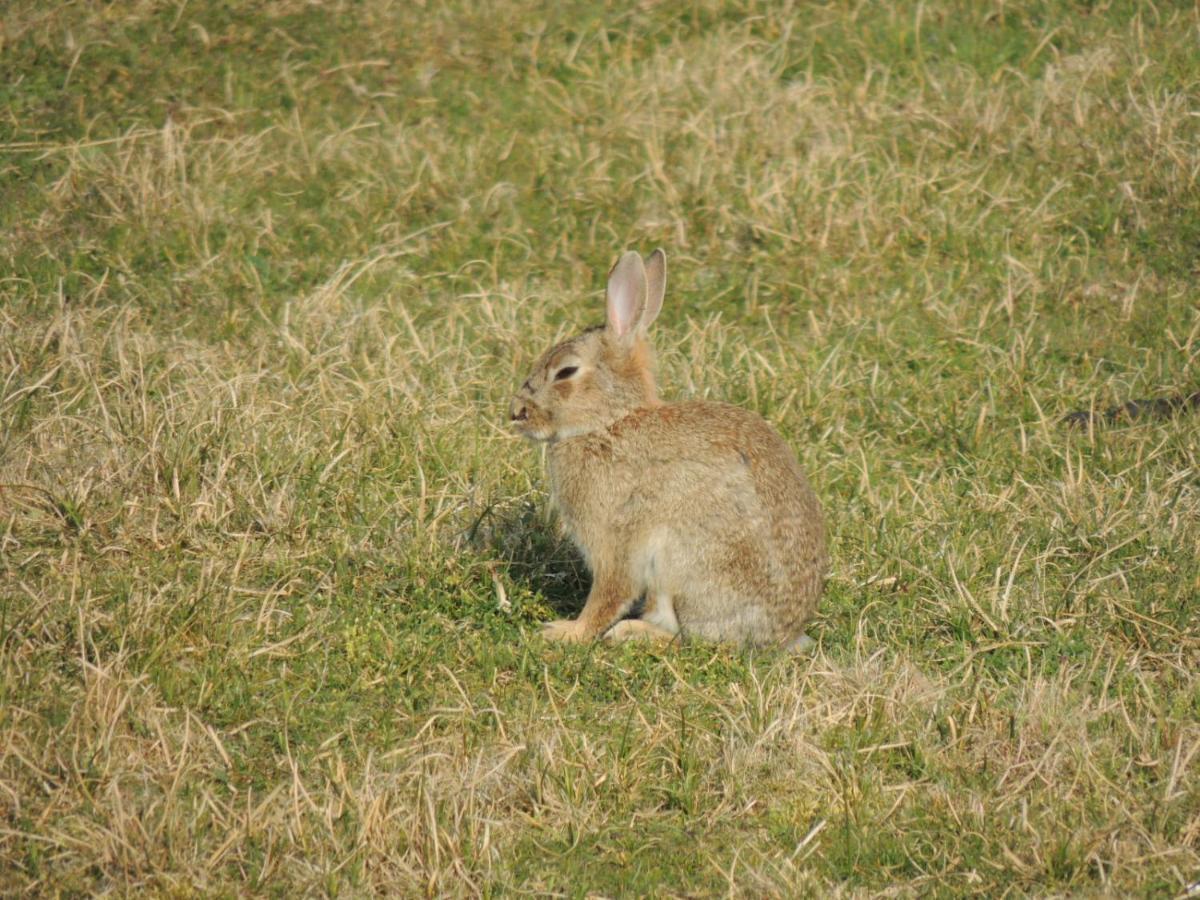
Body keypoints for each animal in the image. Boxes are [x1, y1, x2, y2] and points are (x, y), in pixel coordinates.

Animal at [506, 250, 825, 652]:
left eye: (566, 372)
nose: (517, 412)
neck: (610, 421)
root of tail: (782, 635)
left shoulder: (615, 540)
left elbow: (610, 593)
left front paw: (566, 632)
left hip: (680, 563)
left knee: (687, 638)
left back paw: (630, 633)